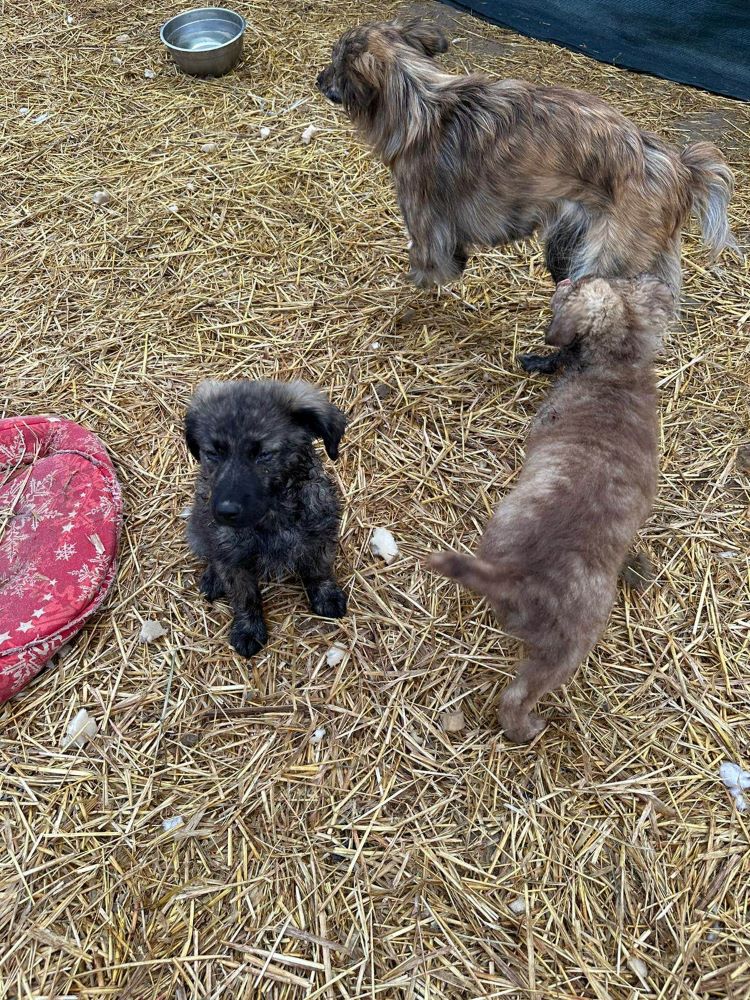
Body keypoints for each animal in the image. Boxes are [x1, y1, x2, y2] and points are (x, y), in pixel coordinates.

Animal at [188, 380, 352, 656]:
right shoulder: (234, 559)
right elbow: (245, 597)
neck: (272, 515)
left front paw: (326, 596)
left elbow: (319, 570)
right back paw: (213, 577)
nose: (225, 511)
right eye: (213, 453)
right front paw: (248, 629)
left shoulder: (319, 536)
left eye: (263, 454)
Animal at [432, 274, 672, 744]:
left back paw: (526, 729)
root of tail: (519, 574)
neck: (617, 369)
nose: (565, 277)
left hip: (563, 647)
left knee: (514, 699)